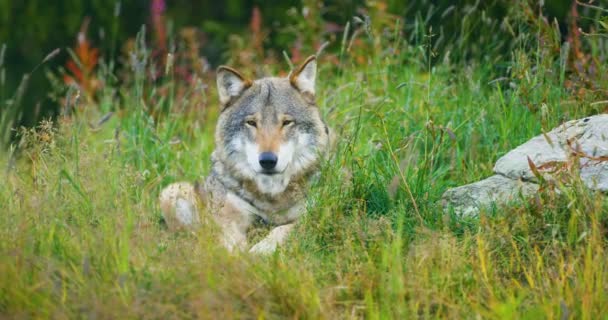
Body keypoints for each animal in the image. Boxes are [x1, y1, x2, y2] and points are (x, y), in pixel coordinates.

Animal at [160, 56, 332, 254]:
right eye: (251, 123)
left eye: (287, 122)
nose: (267, 160)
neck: (271, 197)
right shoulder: (226, 218)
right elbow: (231, 242)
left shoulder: (310, 215)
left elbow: (283, 229)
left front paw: (261, 250)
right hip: (171, 192)